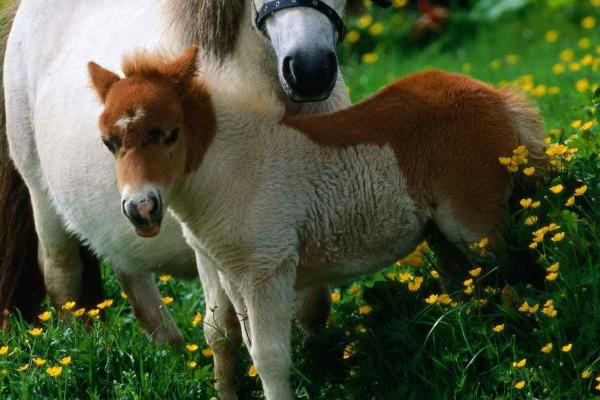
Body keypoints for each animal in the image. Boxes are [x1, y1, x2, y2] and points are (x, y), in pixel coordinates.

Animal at [0, 0, 368, 396]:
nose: (309, 69)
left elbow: (314, 306)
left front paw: (320, 363)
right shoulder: (210, 245)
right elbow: (222, 329)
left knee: (128, 271)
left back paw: (173, 354)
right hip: (42, 195)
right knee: (63, 276)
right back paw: (75, 353)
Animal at [88, 47, 544, 400]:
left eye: (169, 134)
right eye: (109, 143)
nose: (141, 210)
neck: (232, 168)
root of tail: (497, 96)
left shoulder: (267, 270)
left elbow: (270, 356)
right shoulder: (231, 272)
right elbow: (234, 339)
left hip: (475, 225)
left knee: (514, 279)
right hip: (442, 235)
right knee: (469, 288)